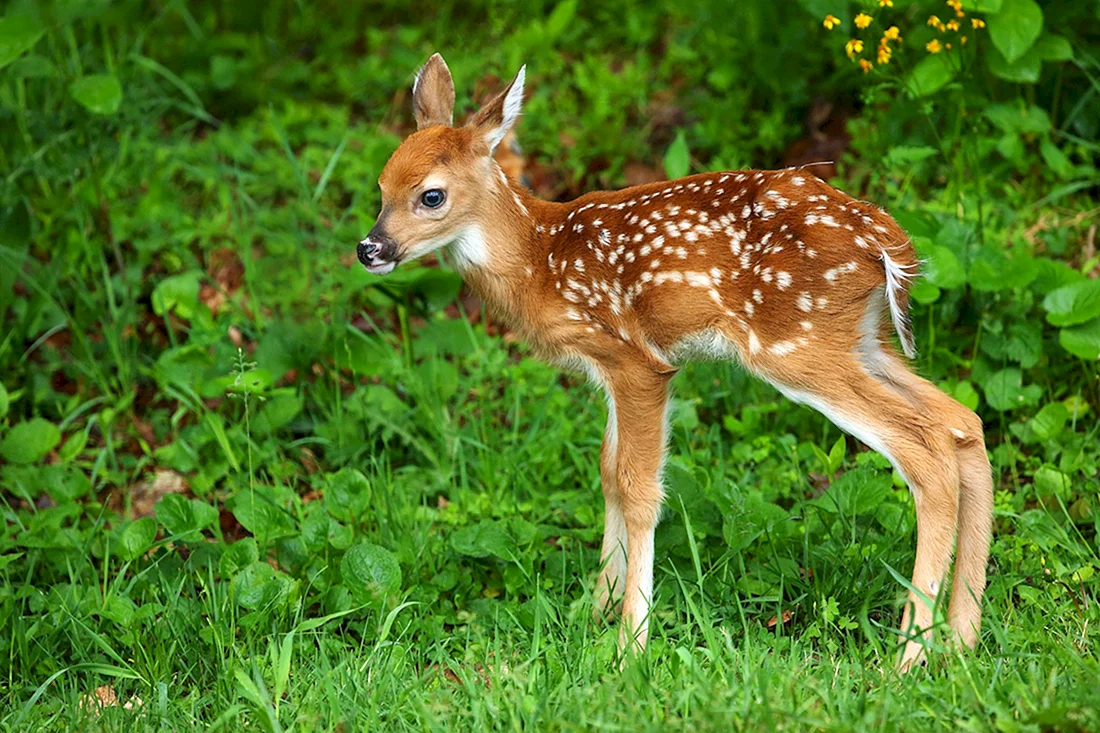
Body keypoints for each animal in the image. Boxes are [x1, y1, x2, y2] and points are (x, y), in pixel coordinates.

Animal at [356, 54, 994, 671]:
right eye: (381, 186)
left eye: (431, 195)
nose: (370, 248)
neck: (539, 261)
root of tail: (885, 239)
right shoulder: (610, 370)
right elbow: (608, 472)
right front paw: (597, 609)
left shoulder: (635, 361)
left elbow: (638, 488)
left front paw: (629, 645)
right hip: (862, 341)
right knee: (964, 422)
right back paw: (962, 638)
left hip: (797, 344)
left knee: (928, 449)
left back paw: (907, 659)